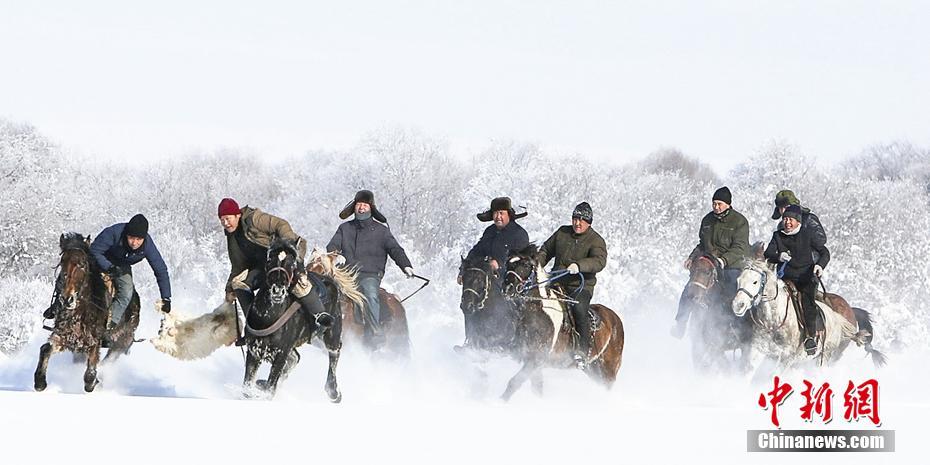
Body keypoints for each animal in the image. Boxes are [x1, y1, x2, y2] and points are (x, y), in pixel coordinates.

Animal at [34, 232, 140, 392]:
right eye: (62, 262)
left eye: (83, 264)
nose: (67, 299)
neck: (81, 311)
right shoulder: (66, 336)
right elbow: (45, 348)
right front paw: (40, 382)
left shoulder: (93, 340)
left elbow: (90, 373)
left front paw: (93, 382)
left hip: (121, 343)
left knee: (108, 361)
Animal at [241, 237, 342, 400]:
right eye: (269, 259)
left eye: (292, 263)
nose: (278, 290)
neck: (269, 318)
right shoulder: (254, 351)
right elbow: (247, 386)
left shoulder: (281, 355)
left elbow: (270, 389)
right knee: (295, 358)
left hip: (332, 333)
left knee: (334, 352)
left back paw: (333, 391)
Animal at [500, 243, 624, 398]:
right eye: (508, 263)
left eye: (526, 265)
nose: (507, 288)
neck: (539, 313)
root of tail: (615, 318)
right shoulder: (532, 360)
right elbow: (537, 388)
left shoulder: (536, 358)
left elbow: (514, 383)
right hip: (592, 368)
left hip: (609, 369)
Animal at [732, 258, 884, 370]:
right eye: (739, 280)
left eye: (755, 282)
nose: (737, 305)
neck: (774, 322)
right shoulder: (758, 351)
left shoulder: (786, 359)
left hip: (826, 358)